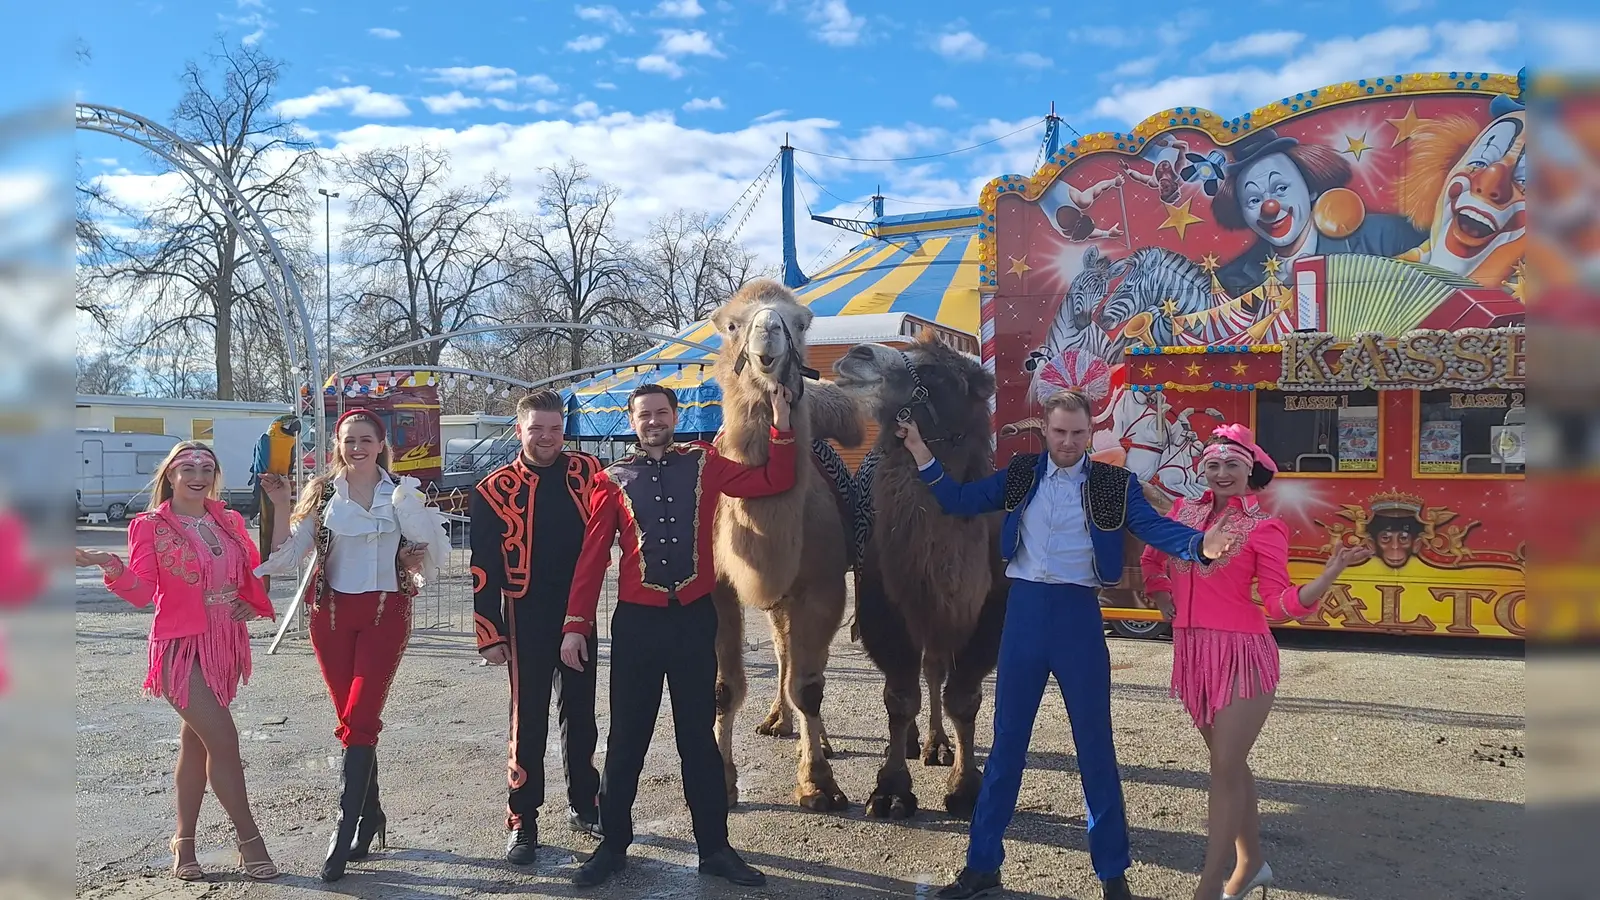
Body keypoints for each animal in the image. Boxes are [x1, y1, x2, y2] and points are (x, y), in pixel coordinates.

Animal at [710, 277, 864, 810]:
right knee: (780, 648)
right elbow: (725, 688)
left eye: (799, 322)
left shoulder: (824, 587)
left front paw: (818, 782)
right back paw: (777, 719)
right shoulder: (720, 588)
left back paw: (819, 738)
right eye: (731, 324)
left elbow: (811, 687)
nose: (768, 333)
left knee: (798, 660)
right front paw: (723, 782)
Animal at [832, 333, 1004, 816]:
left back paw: (936, 745)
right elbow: (899, 697)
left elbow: (963, 699)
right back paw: (912, 742)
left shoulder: (987, 618)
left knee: (933, 668)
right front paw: (891, 789)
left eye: (934, 372)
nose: (855, 354)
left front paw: (965, 786)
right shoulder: (884, 611)